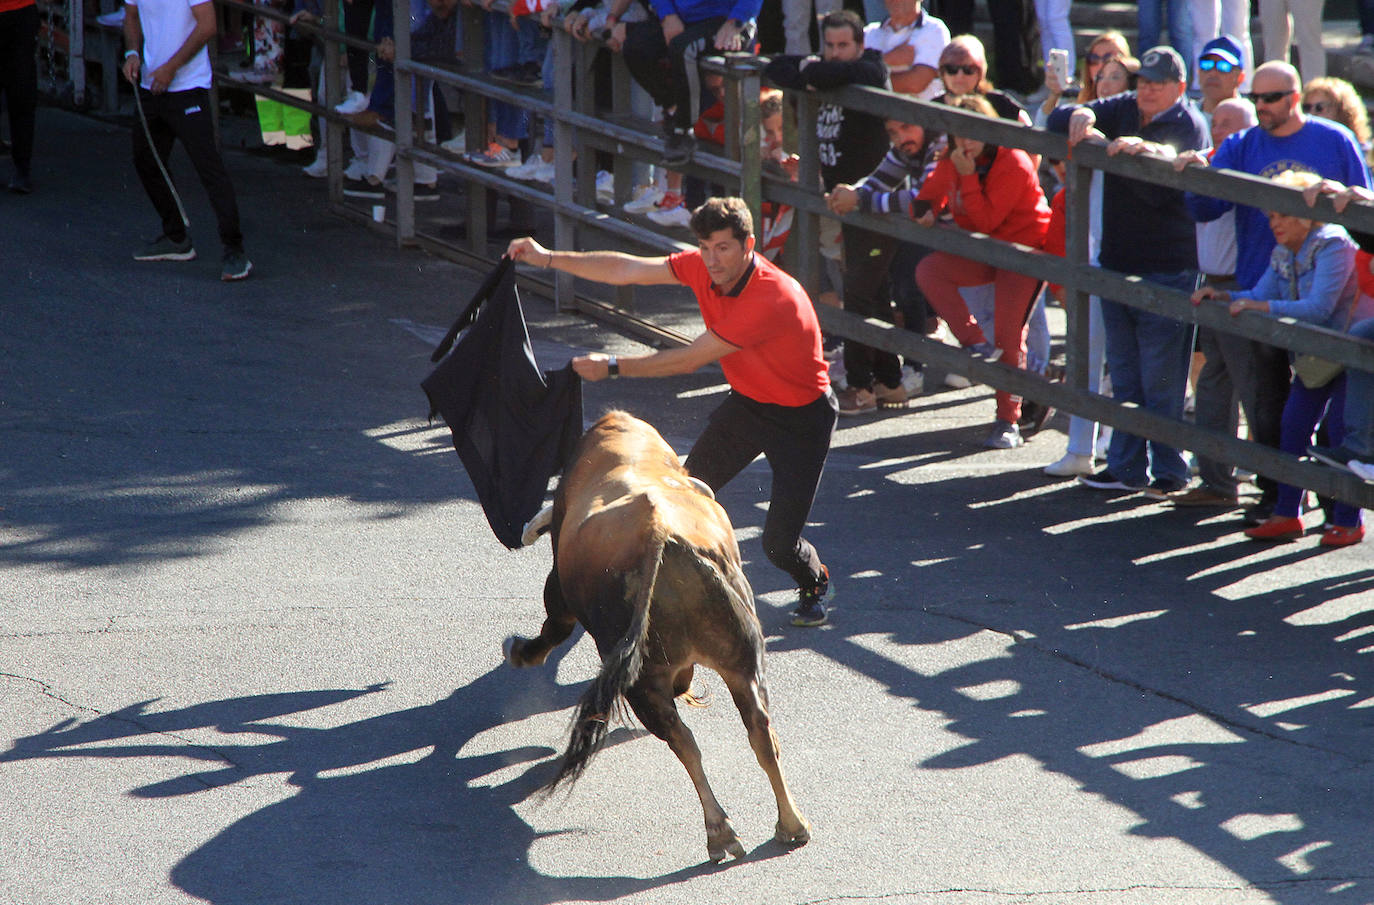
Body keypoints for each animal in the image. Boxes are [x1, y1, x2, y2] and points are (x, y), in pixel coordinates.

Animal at [508, 411, 807, 862]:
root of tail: (660, 532)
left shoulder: (559, 587)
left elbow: (554, 627)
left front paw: (522, 652)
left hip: (644, 680)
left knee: (684, 741)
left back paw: (719, 832)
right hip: (742, 661)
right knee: (760, 732)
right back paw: (790, 825)